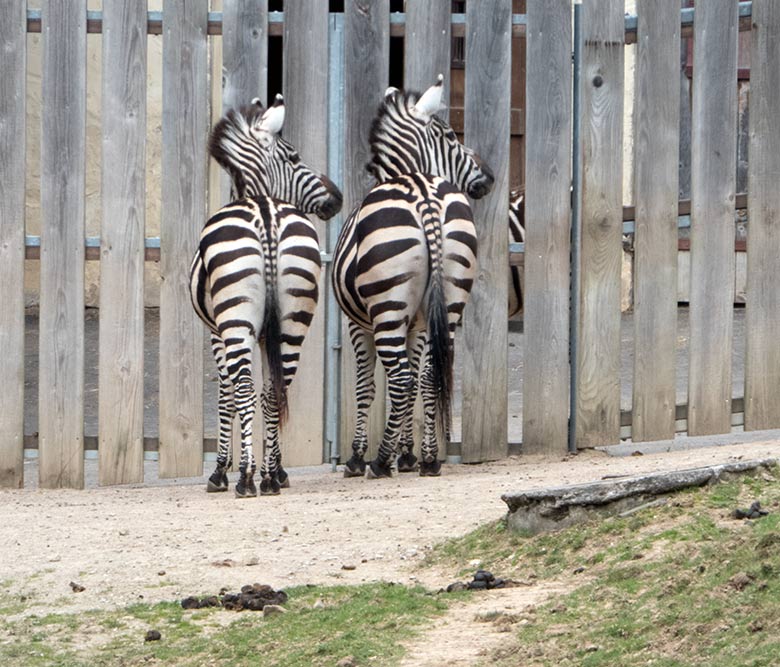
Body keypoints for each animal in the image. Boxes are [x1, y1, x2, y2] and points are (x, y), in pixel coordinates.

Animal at [189, 96, 342, 498]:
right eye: (295, 156)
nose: (337, 198)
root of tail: (265, 213)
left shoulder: (217, 332)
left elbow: (227, 395)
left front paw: (221, 470)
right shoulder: (263, 334)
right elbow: (266, 393)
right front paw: (276, 469)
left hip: (236, 318)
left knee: (244, 389)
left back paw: (245, 478)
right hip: (293, 321)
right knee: (276, 391)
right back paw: (272, 477)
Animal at [330, 75, 490, 478]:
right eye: (450, 135)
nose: (490, 178)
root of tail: (424, 195)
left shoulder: (358, 323)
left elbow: (367, 386)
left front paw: (359, 455)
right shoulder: (418, 323)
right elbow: (419, 378)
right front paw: (410, 454)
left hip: (386, 307)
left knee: (399, 380)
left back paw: (378, 461)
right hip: (451, 298)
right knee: (432, 373)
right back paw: (430, 459)